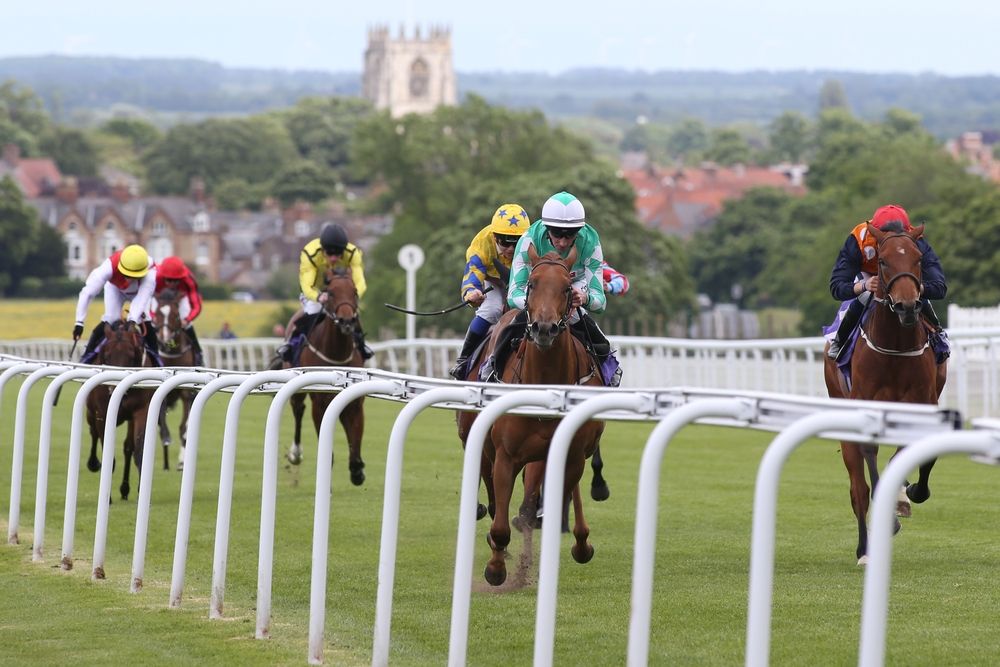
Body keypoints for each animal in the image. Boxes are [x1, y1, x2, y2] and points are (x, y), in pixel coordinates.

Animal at [86, 320, 157, 500]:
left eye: (131, 355)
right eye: (107, 354)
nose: (114, 388)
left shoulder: (141, 411)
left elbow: (139, 450)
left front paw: (141, 491)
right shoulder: (103, 414)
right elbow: (108, 456)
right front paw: (107, 498)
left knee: (128, 447)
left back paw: (125, 489)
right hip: (90, 413)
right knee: (93, 433)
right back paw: (93, 463)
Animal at [282, 268, 368, 488]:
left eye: (355, 292)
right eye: (330, 293)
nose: (347, 321)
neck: (336, 355)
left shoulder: (355, 402)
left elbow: (355, 434)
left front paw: (357, 470)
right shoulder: (319, 403)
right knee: (298, 409)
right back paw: (295, 454)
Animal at [458, 248, 604, 588]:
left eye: (567, 288)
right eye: (532, 283)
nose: (544, 328)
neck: (545, 383)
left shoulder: (567, 454)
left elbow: (535, 508)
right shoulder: (505, 454)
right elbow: (501, 518)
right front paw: (496, 567)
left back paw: (580, 541)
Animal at [824, 224, 948, 564]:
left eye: (918, 259)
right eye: (882, 261)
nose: (907, 306)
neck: (895, 349)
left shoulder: (922, 404)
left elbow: (915, 457)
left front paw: (909, 493)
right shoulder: (866, 408)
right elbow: (872, 462)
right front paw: (889, 515)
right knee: (858, 490)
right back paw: (864, 550)